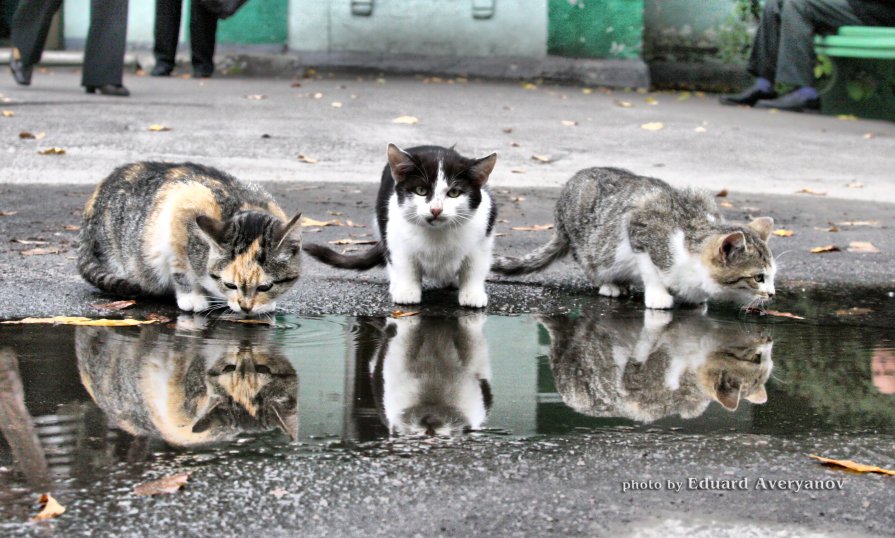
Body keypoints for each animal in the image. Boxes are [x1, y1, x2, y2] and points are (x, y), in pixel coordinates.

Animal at [78, 161, 300, 312]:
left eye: (265, 287)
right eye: (230, 285)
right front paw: (192, 298)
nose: (245, 308)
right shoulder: (180, 210)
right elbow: (181, 269)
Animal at [300, 143, 496, 306]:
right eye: (421, 190)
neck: (437, 233)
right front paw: (407, 291)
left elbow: (474, 267)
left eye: (454, 193)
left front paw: (472, 294)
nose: (436, 210)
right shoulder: (394, 234)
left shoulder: (483, 236)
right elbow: (404, 264)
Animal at [490, 168, 776, 310]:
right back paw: (610, 284)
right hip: (589, 245)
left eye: (773, 276)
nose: (773, 294)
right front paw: (659, 296)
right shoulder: (639, 227)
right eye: (758, 277)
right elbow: (649, 269)